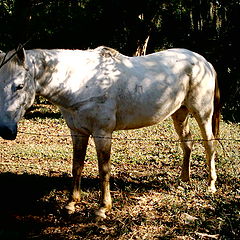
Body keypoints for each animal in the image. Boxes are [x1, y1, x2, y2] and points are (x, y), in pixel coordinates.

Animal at [0, 46, 220, 218]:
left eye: (19, 85)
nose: (5, 130)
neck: (81, 82)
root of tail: (205, 62)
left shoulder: (102, 133)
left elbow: (103, 169)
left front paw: (102, 208)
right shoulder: (77, 132)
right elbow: (77, 166)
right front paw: (71, 204)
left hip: (202, 113)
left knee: (209, 145)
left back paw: (211, 185)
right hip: (179, 114)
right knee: (187, 143)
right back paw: (184, 179)